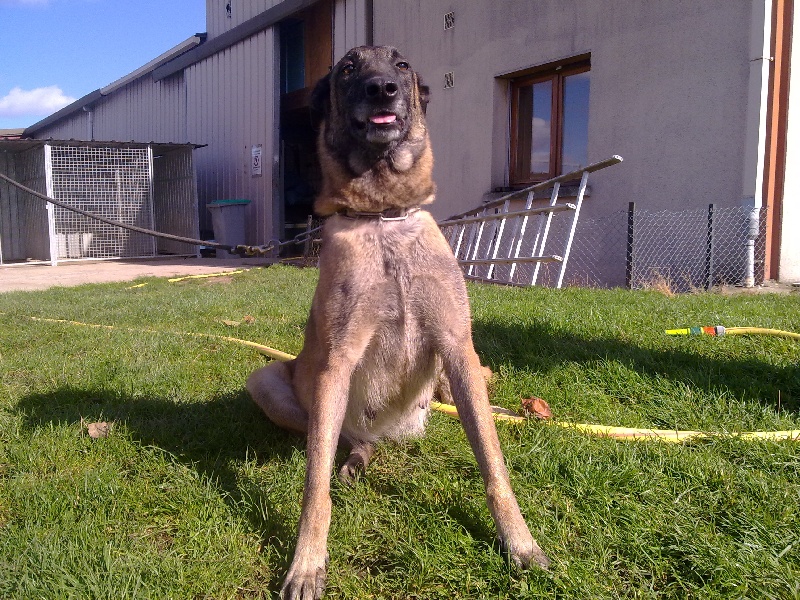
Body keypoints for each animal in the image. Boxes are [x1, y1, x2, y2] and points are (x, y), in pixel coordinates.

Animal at [247, 44, 552, 596]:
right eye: (348, 68)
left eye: (401, 65)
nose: (382, 88)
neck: (384, 217)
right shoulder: (336, 363)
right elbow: (315, 486)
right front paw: (306, 562)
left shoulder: (457, 346)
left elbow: (493, 463)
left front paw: (518, 541)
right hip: (270, 383)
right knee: (349, 439)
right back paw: (358, 457)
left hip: (458, 374)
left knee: (471, 401)